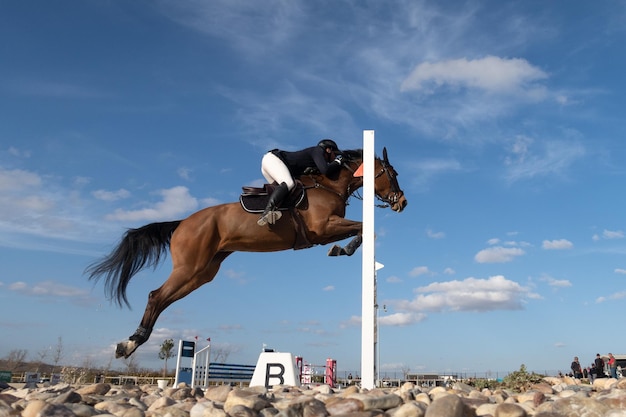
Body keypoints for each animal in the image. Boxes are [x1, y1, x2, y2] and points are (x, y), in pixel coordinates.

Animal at [88, 147, 408, 358]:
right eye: (392, 174)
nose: (402, 202)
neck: (330, 184)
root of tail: (181, 223)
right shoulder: (323, 227)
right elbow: (365, 228)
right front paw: (343, 249)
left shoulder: (327, 229)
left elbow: (364, 231)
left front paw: (342, 248)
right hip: (190, 267)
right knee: (156, 296)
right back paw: (129, 344)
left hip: (202, 273)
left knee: (164, 300)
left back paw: (131, 342)